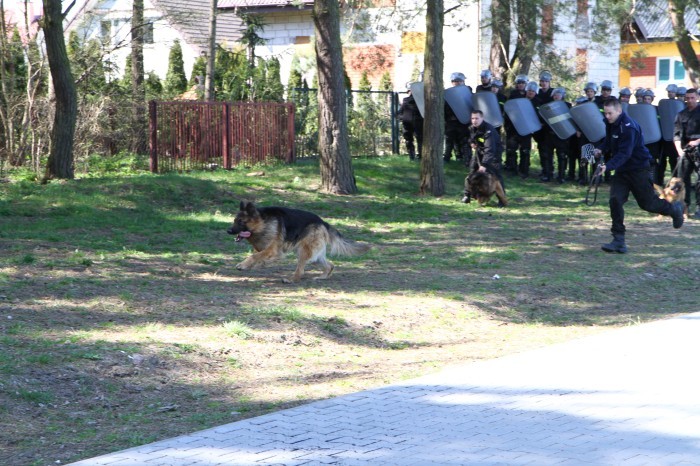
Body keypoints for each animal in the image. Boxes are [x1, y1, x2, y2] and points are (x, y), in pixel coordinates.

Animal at [228, 201, 372, 282]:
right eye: (234, 221)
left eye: (241, 222)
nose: (228, 231)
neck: (263, 223)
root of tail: (323, 223)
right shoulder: (265, 249)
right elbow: (257, 255)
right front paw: (252, 265)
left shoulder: (272, 250)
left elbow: (254, 256)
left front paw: (242, 265)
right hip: (314, 257)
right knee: (330, 266)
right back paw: (322, 277)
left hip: (304, 251)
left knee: (300, 271)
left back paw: (291, 279)